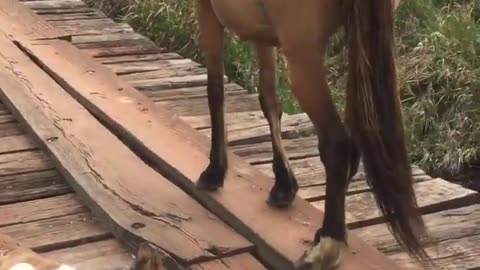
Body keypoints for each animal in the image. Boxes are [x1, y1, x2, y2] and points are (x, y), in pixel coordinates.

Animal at [193, 0, 434, 268]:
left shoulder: (207, 11)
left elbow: (215, 90)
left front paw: (214, 171)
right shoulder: (263, 33)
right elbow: (269, 98)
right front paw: (283, 184)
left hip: (303, 55)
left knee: (337, 142)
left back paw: (329, 243)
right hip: (356, 49)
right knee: (354, 138)